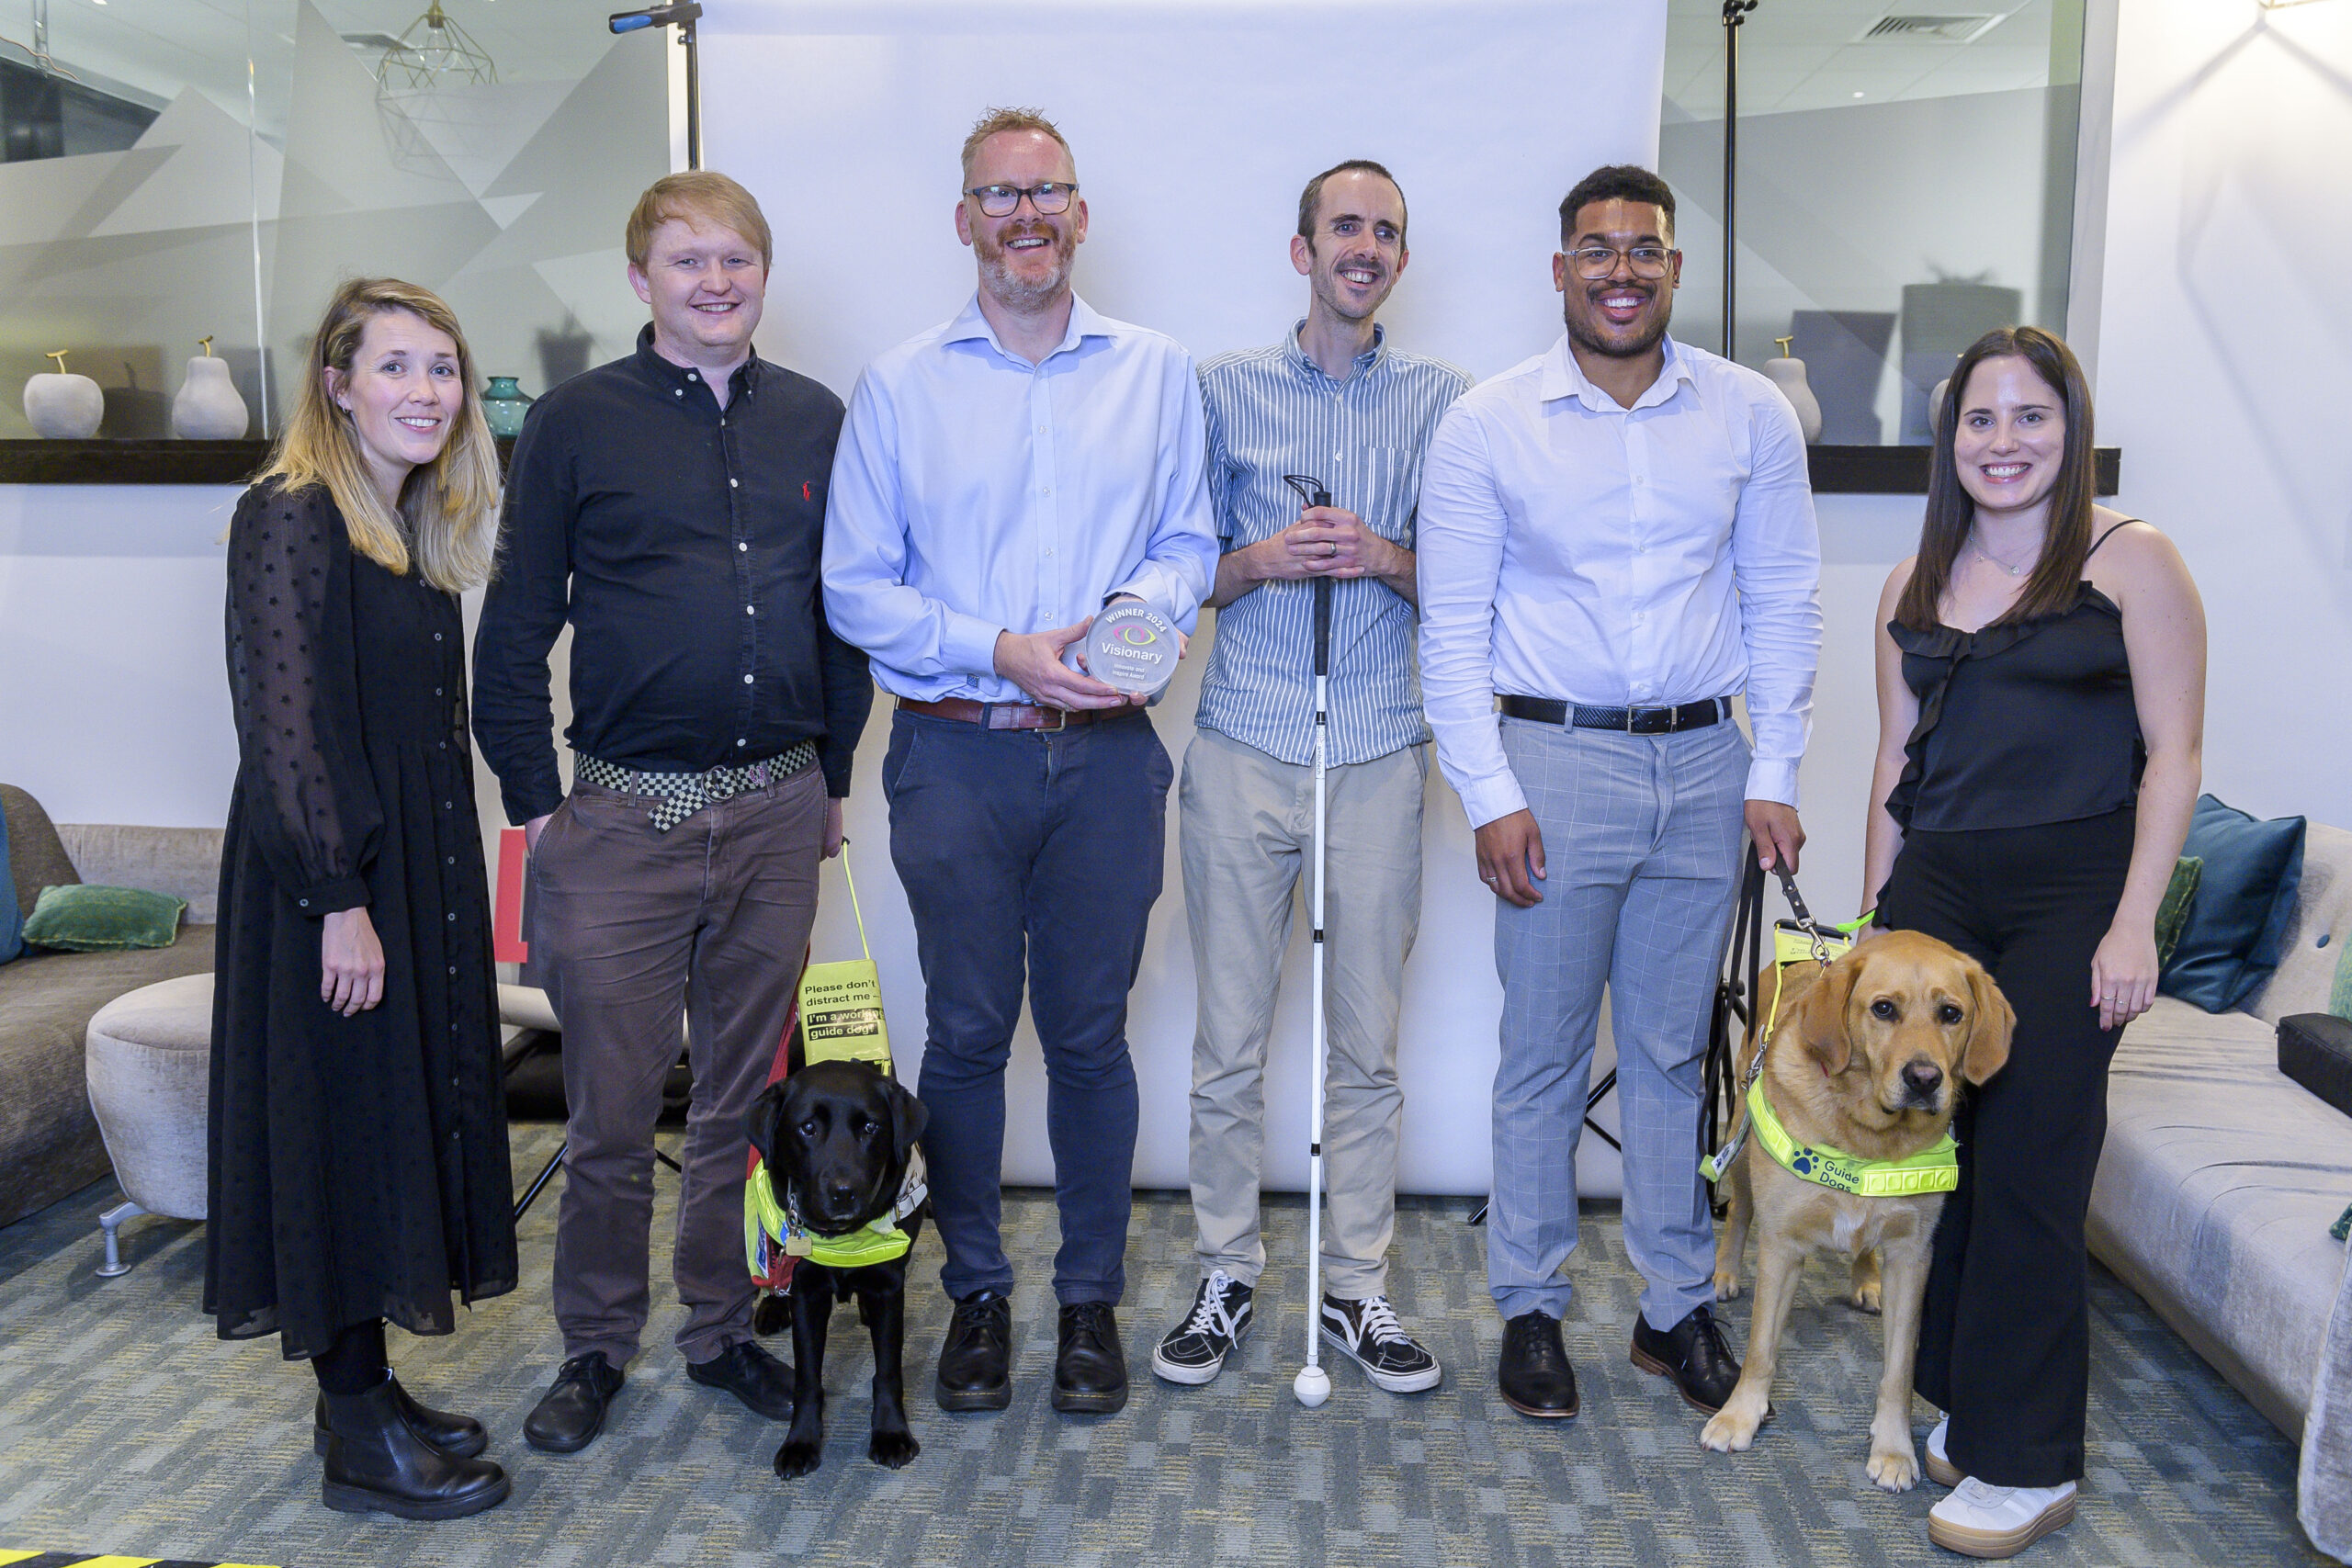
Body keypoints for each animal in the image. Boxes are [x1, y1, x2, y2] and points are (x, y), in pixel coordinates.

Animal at [757, 1062, 931, 1476]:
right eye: (807, 1127)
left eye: (870, 1127)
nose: (843, 1191)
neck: (844, 1240)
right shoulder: (806, 1292)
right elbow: (807, 1378)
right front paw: (801, 1442)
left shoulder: (888, 1288)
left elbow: (888, 1372)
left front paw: (891, 1434)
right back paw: (772, 1305)